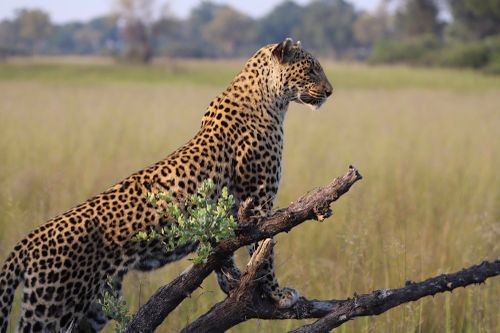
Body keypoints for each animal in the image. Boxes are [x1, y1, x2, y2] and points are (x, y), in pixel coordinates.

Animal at [1, 37, 334, 330]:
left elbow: (226, 252)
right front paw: (276, 294)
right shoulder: (259, 199)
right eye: (311, 69)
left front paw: (233, 283)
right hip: (52, 306)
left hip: (94, 308)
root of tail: (29, 240)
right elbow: (263, 252)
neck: (272, 99)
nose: (330, 91)